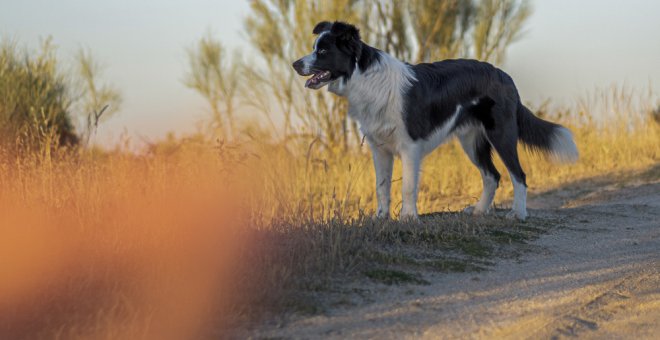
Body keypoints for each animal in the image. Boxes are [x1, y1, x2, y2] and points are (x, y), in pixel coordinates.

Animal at [292, 22, 576, 222]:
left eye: (323, 51)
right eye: (315, 47)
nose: (295, 64)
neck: (363, 76)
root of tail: (504, 75)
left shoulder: (409, 146)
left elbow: (408, 186)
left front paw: (408, 218)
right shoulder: (379, 148)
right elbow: (381, 186)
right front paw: (380, 218)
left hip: (501, 134)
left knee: (518, 174)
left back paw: (518, 214)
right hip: (472, 141)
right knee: (492, 175)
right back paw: (479, 211)